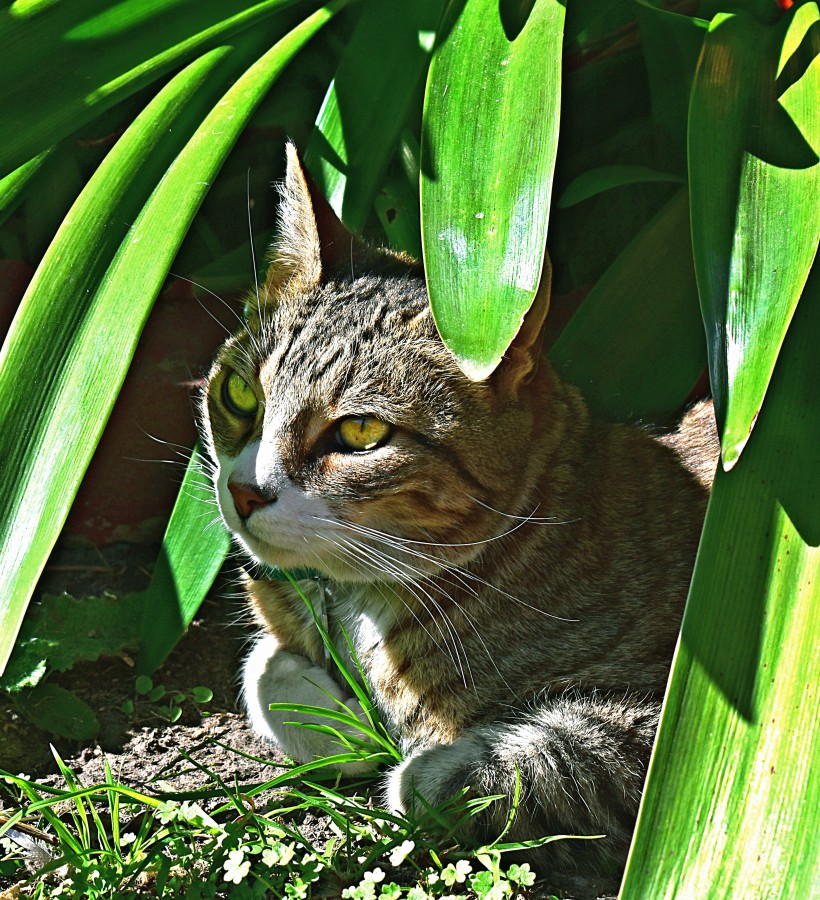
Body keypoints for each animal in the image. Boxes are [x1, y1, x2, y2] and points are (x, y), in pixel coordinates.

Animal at [199, 144, 716, 876]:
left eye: (361, 433)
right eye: (241, 393)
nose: (245, 492)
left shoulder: (666, 725)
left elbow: (434, 778)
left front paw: (397, 753)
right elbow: (263, 669)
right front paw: (342, 724)